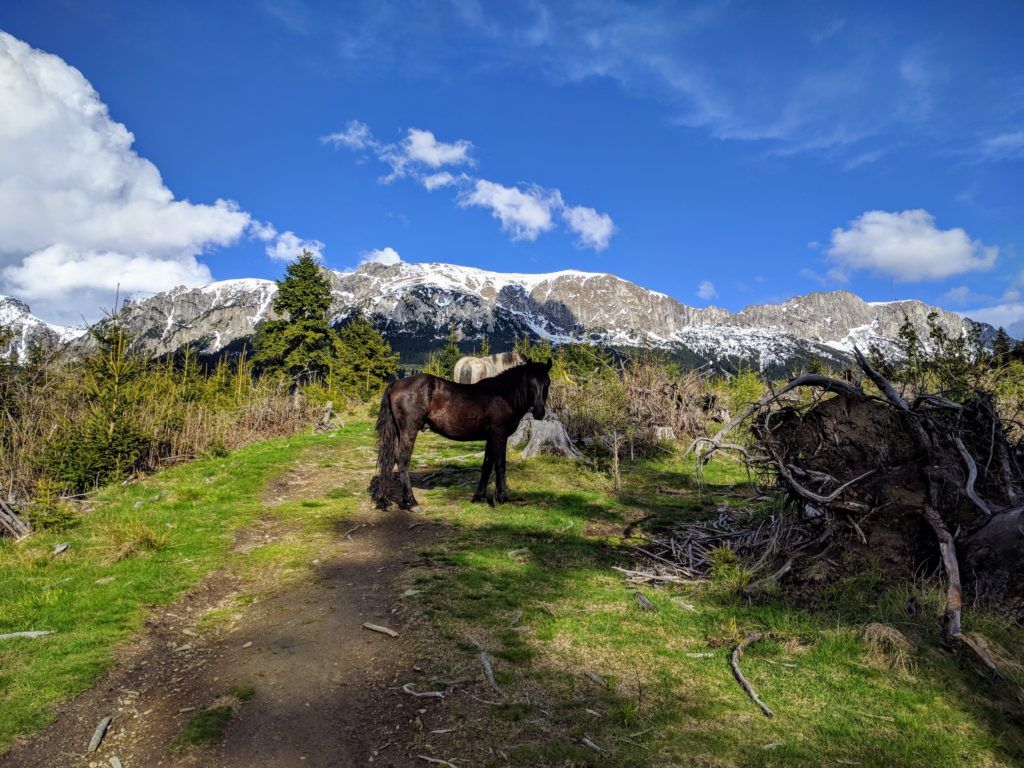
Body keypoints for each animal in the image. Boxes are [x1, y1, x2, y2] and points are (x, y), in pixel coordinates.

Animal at [372, 360, 552, 512]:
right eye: (530, 382)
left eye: (547, 382)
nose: (539, 412)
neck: (503, 395)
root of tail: (395, 384)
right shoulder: (499, 435)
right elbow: (500, 465)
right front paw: (501, 498)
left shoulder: (490, 437)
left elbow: (487, 465)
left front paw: (479, 497)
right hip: (409, 430)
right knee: (402, 460)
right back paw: (412, 503)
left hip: (397, 431)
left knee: (389, 460)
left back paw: (387, 502)